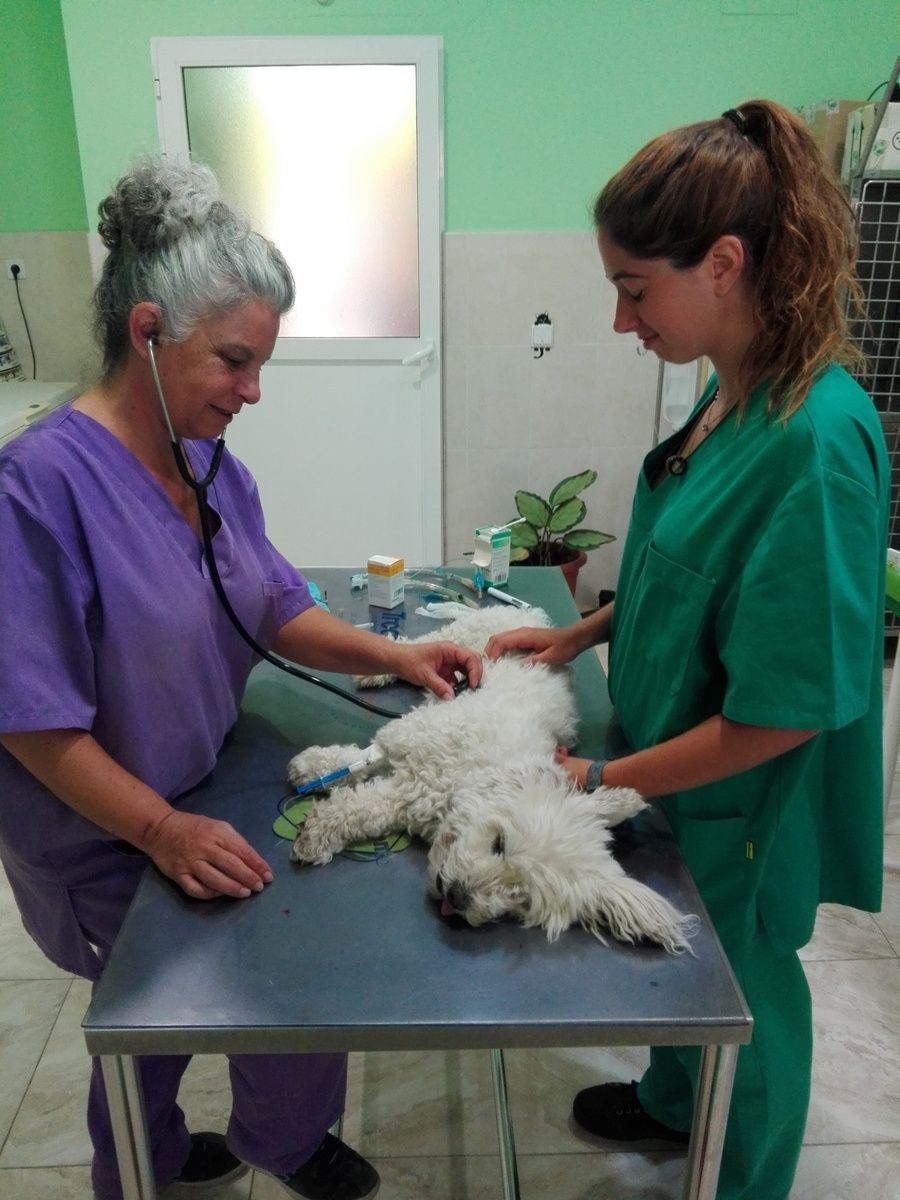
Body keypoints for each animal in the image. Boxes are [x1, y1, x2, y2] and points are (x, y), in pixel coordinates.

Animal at [288, 605, 695, 953]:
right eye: (499, 843)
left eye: (521, 896)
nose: (458, 897)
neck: (484, 768)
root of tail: (533, 616)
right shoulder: (408, 740)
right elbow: (358, 760)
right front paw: (314, 770)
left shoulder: (408, 795)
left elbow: (361, 806)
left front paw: (319, 826)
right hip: (464, 638)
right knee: (421, 650)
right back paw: (378, 670)